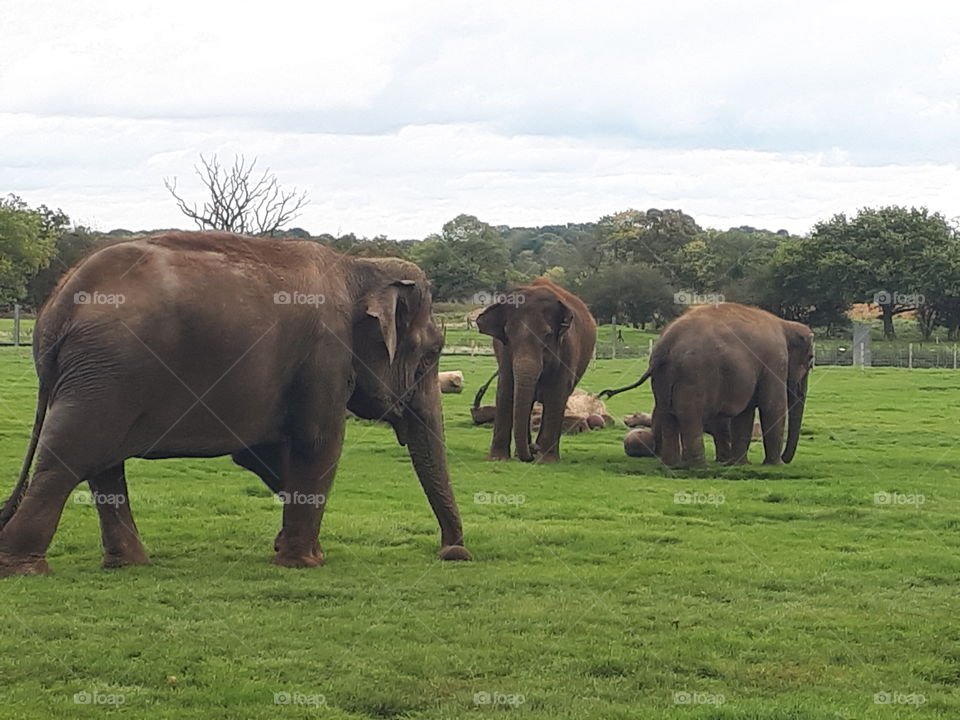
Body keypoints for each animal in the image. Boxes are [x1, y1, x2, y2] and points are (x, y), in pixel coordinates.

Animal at [0, 233, 472, 576]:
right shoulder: (324, 356)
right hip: (107, 373)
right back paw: (25, 569)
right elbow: (318, 444)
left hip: (100, 377)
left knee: (101, 466)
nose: (454, 553)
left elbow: (267, 456)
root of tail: (58, 306)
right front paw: (303, 563)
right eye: (431, 354)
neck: (358, 266)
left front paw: (288, 548)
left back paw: (129, 564)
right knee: (68, 459)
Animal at [472, 276, 592, 462]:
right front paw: (497, 459)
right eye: (508, 335)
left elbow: (557, 392)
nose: (533, 449)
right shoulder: (503, 351)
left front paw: (546, 461)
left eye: (547, 335)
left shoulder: (568, 348)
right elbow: (506, 388)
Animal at [600, 302, 808, 466]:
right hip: (694, 375)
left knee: (667, 412)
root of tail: (664, 344)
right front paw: (775, 466)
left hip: (663, 377)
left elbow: (745, 413)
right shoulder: (775, 359)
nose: (786, 459)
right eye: (810, 360)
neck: (785, 324)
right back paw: (698, 467)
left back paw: (673, 464)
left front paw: (741, 465)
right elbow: (772, 406)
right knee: (690, 414)